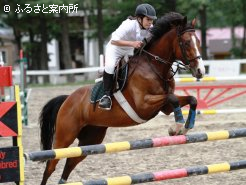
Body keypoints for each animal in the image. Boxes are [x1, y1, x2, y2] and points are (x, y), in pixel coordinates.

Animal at [39, 12, 206, 184]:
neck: (154, 66)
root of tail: (67, 99)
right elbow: (172, 98)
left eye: (198, 41)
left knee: (71, 161)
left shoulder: (164, 107)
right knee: (51, 165)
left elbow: (191, 99)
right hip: (64, 137)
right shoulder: (143, 105)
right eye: (186, 43)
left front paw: (186, 126)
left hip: (91, 138)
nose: (200, 71)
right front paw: (177, 127)